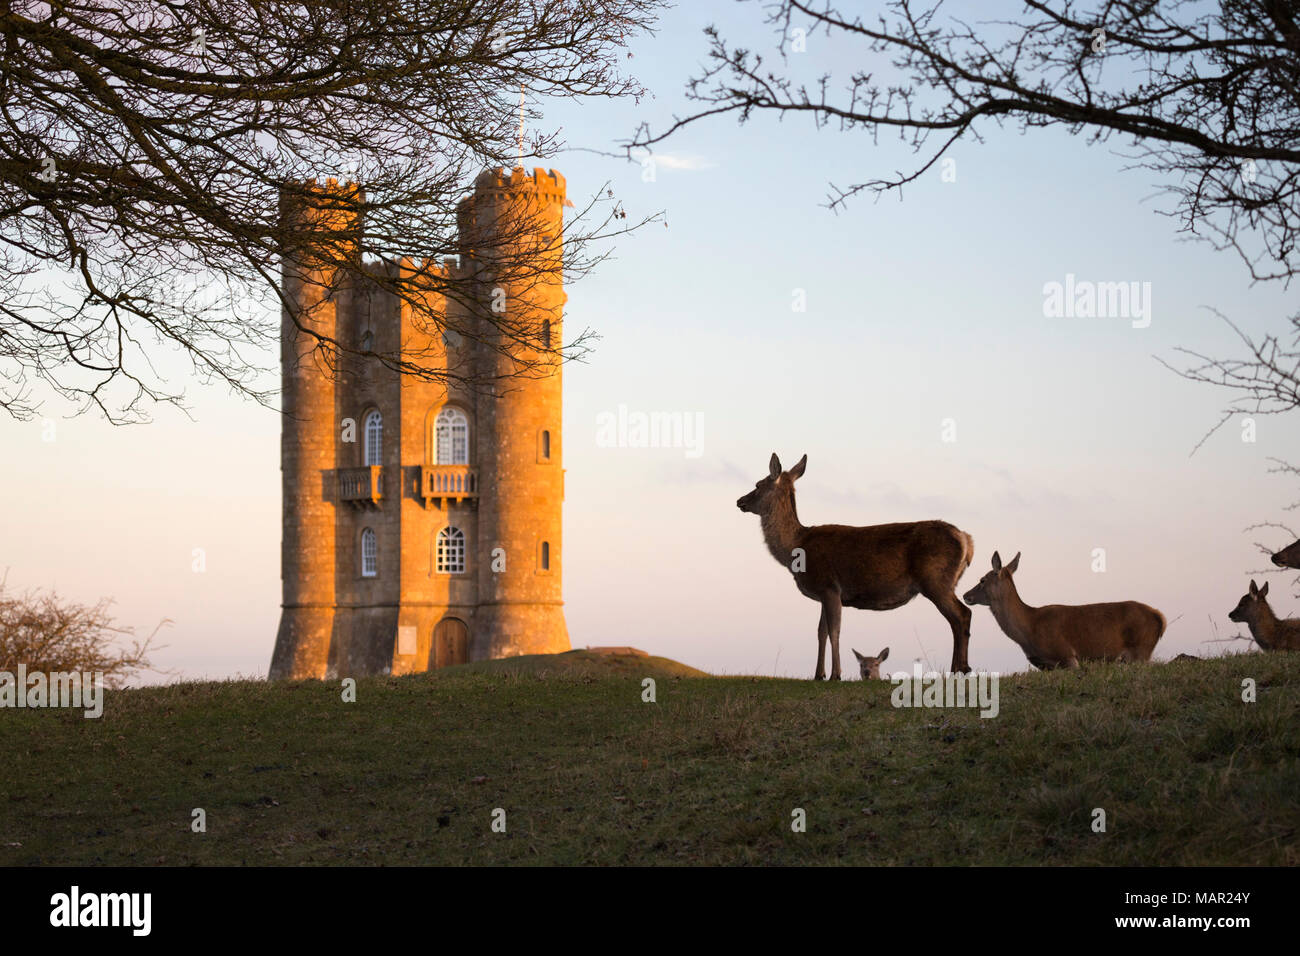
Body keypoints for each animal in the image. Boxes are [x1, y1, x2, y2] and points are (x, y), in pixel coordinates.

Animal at [733, 455, 977, 681]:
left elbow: (834, 631)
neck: (795, 547)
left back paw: (961, 669)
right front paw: (818, 674)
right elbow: (820, 632)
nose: (739, 501)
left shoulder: (829, 586)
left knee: (962, 614)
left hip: (936, 579)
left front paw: (835, 674)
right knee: (956, 620)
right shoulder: (824, 593)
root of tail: (966, 539)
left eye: (758, 484)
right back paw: (958, 669)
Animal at [961, 548, 1164, 671]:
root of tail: (1159, 617)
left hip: (1141, 650)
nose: (965, 595)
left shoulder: (1067, 655)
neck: (1030, 628)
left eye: (982, 580)